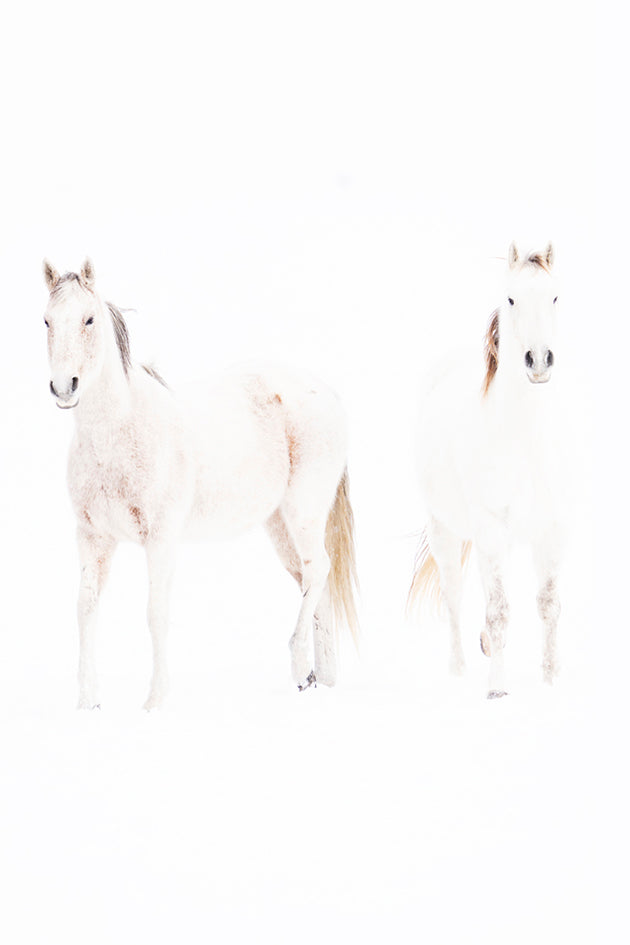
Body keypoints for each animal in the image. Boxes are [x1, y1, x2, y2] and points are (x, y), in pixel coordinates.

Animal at [42, 258, 358, 709]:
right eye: (47, 320)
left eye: (88, 319)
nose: (64, 387)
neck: (120, 432)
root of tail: (325, 391)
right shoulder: (91, 536)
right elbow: (86, 608)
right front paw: (89, 703)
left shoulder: (161, 539)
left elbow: (156, 613)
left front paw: (154, 701)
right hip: (279, 525)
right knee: (313, 582)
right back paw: (322, 680)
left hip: (305, 512)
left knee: (318, 572)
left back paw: (301, 666)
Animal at [408, 242, 567, 698]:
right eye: (511, 299)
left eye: (555, 296)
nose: (539, 361)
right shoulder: (490, 529)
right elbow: (498, 610)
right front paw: (497, 688)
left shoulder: (550, 530)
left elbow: (548, 605)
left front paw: (552, 681)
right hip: (446, 532)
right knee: (454, 595)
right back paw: (458, 669)